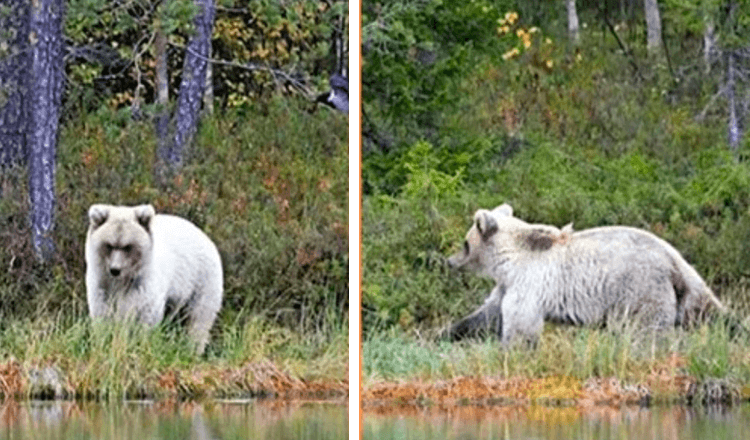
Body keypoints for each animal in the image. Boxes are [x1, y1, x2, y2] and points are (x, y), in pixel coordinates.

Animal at [86, 205, 223, 356]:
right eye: (109, 245)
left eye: (128, 246)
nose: (115, 269)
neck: (122, 280)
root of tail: (204, 235)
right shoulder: (101, 284)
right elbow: (102, 314)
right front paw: (104, 343)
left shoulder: (142, 286)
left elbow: (145, 315)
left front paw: (138, 344)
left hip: (201, 279)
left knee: (198, 317)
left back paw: (193, 349)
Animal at [450, 205, 724, 346]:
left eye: (465, 243)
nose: (450, 260)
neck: (510, 260)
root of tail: (673, 258)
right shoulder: (509, 285)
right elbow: (487, 313)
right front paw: (451, 331)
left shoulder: (530, 282)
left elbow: (520, 324)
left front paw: (511, 349)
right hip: (682, 290)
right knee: (703, 310)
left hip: (641, 289)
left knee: (646, 330)